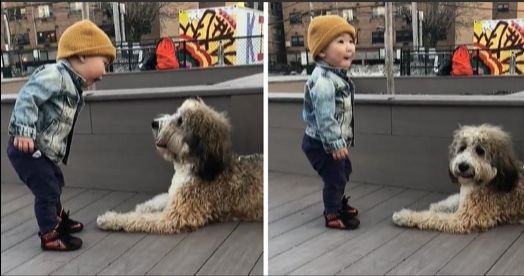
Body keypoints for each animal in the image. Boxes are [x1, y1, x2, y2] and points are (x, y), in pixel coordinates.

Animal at [95, 98, 262, 234]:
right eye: (176, 113)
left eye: (181, 121)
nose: (154, 123)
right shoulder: (175, 195)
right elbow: (161, 199)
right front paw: (144, 206)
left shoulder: (174, 216)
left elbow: (140, 218)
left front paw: (110, 218)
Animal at [392, 124, 524, 234]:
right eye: (462, 148)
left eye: (480, 151)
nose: (462, 166)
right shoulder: (464, 199)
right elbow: (454, 199)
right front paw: (438, 206)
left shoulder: (465, 218)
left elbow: (433, 217)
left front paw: (403, 216)